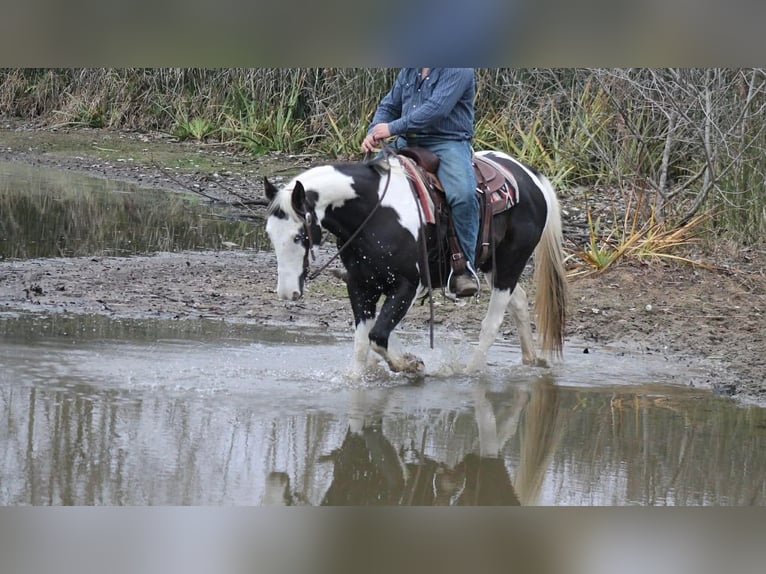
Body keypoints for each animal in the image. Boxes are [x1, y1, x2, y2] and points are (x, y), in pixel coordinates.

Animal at [264, 149, 567, 377]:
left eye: (298, 235)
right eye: (269, 233)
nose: (287, 293)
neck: (375, 212)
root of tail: (531, 176)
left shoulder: (407, 285)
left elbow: (378, 335)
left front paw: (411, 364)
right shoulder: (361, 284)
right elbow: (363, 342)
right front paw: (360, 378)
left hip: (510, 264)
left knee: (492, 322)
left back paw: (469, 371)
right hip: (493, 267)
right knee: (519, 302)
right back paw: (530, 360)